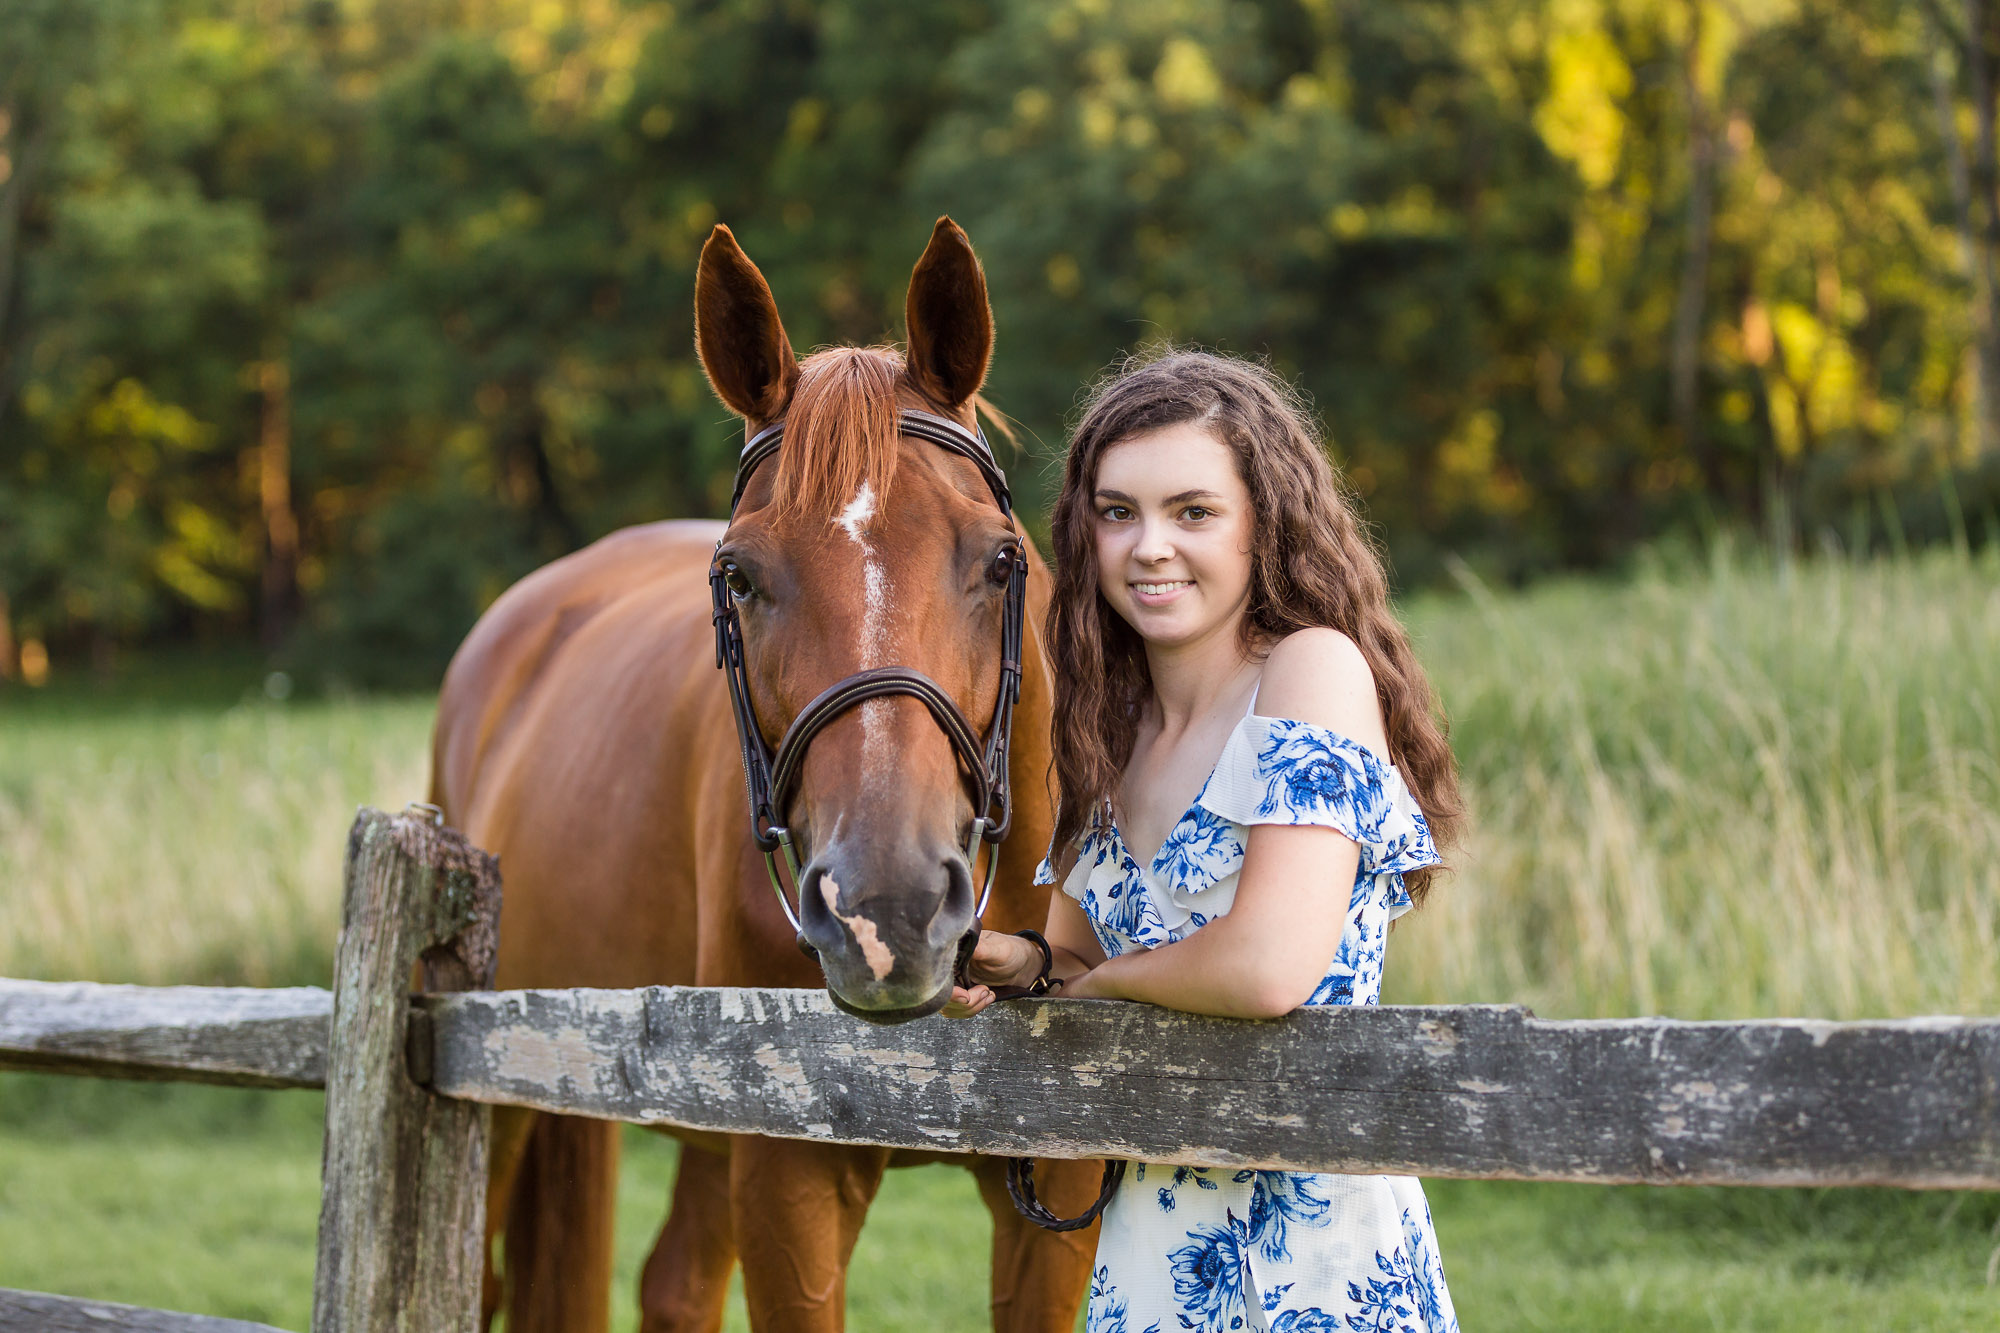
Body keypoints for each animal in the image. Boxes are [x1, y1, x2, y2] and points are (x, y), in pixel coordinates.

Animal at [429, 218, 1103, 1333]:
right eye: (738, 574)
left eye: (1002, 560)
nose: (888, 911)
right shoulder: (788, 1171)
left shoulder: (1059, 1190)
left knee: (675, 1284)